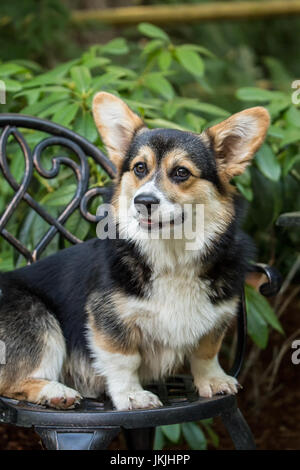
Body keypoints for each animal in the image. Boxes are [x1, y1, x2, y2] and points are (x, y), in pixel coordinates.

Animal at [0, 93, 268, 410]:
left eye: (181, 172)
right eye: (140, 168)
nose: (144, 201)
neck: (172, 257)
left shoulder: (217, 318)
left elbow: (206, 352)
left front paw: (212, 381)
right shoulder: (110, 319)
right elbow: (124, 360)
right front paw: (132, 394)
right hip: (39, 320)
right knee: (11, 382)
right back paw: (54, 392)